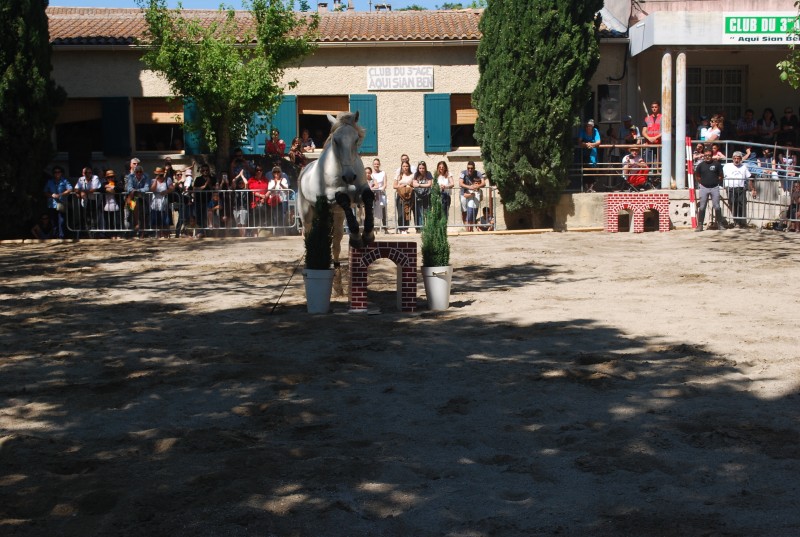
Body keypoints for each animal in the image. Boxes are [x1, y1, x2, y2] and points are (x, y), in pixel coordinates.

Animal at [298, 111, 376, 270]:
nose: (349, 176)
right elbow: (342, 197)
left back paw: (337, 264)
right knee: (308, 232)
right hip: (307, 212)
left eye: (356, 139)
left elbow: (368, 197)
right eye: (335, 140)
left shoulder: (359, 194)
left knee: (337, 239)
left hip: (337, 214)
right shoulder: (330, 196)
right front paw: (357, 237)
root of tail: (304, 170)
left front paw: (368, 235)